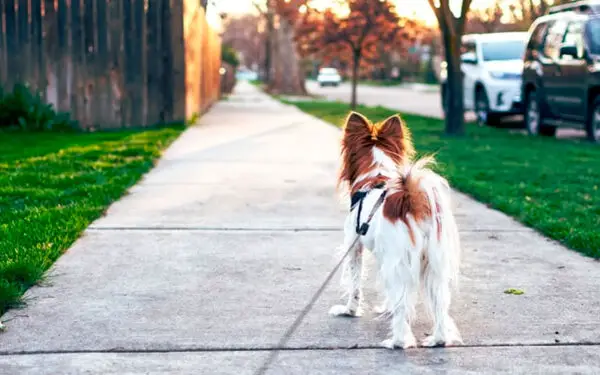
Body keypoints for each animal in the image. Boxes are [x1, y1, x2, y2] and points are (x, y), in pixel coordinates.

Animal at [330, 111, 462, 350]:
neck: (375, 176)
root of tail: (411, 200)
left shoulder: (355, 246)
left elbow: (355, 285)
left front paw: (349, 311)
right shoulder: (385, 256)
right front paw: (386, 308)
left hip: (400, 261)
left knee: (403, 307)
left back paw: (397, 341)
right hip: (434, 265)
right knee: (439, 304)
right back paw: (438, 340)